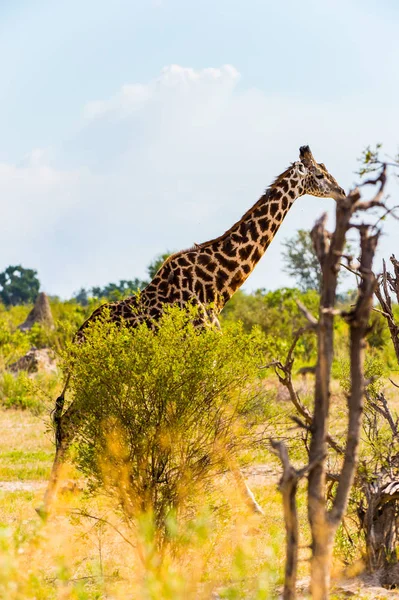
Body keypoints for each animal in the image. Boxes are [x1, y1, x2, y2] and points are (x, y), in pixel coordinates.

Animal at [39, 145, 344, 516]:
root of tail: (76, 341)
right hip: (94, 377)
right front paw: (251, 505)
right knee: (70, 422)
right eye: (320, 174)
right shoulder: (203, 359)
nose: (342, 192)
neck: (218, 287)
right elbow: (216, 428)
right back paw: (48, 504)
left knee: (73, 421)